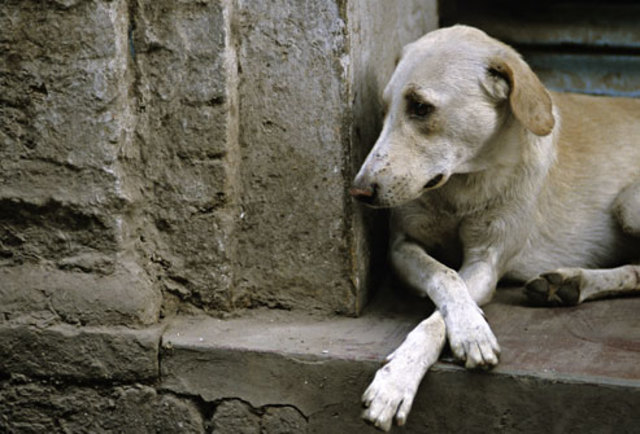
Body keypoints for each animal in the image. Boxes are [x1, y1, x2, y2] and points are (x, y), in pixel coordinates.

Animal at [350, 25, 640, 432]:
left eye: (420, 107)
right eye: (384, 109)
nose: (358, 191)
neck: (462, 186)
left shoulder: (486, 262)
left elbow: (439, 314)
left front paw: (401, 377)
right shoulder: (402, 246)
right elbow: (444, 277)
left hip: (629, 204)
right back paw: (568, 283)